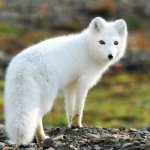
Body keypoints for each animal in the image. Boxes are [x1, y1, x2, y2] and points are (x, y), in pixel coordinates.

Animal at [3, 17, 127, 145]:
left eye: (116, 43)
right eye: (101, 42)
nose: (110, 56)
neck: (88, 49)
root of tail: (23, 66)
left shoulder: (70, 85)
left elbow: (69, 107)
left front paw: (70, 124)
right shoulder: (83, 82)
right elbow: (79, 107)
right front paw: (77, 125)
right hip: (46, 99)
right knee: (37, 117)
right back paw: (42, 138)